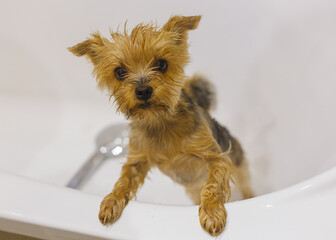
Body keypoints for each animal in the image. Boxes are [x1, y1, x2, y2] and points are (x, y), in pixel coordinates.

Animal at [69, 15, 252, 236]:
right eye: (119, 72)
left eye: (162, 64)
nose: (143, 90)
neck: (160, 122)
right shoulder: (137, 159)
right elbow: (123, 180)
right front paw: (111, 201)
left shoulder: (217, 157)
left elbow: (213, 184)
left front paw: (211, 212)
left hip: (238, 163)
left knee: (245, 184)